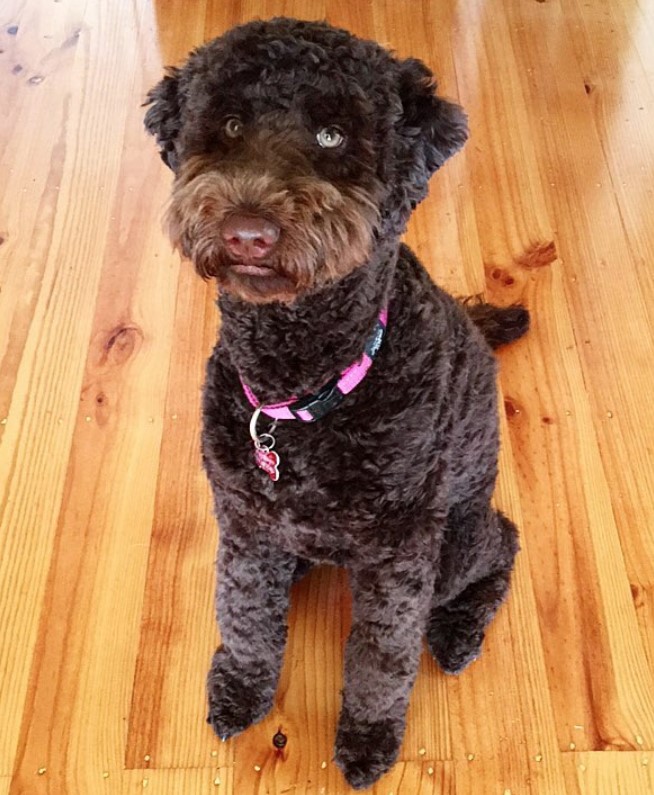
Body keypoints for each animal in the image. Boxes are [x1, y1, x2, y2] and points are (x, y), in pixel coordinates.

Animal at [146, 18, 532, 788]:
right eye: (228, 125)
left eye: (331, 135)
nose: (247, 229)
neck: (299, 387)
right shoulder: (245, 522)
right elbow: (243, 610)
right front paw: (241, 686)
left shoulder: (401, 555)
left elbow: (382, 657)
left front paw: (368, 736)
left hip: (455, 540)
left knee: (502, 542)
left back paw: (458, 630)